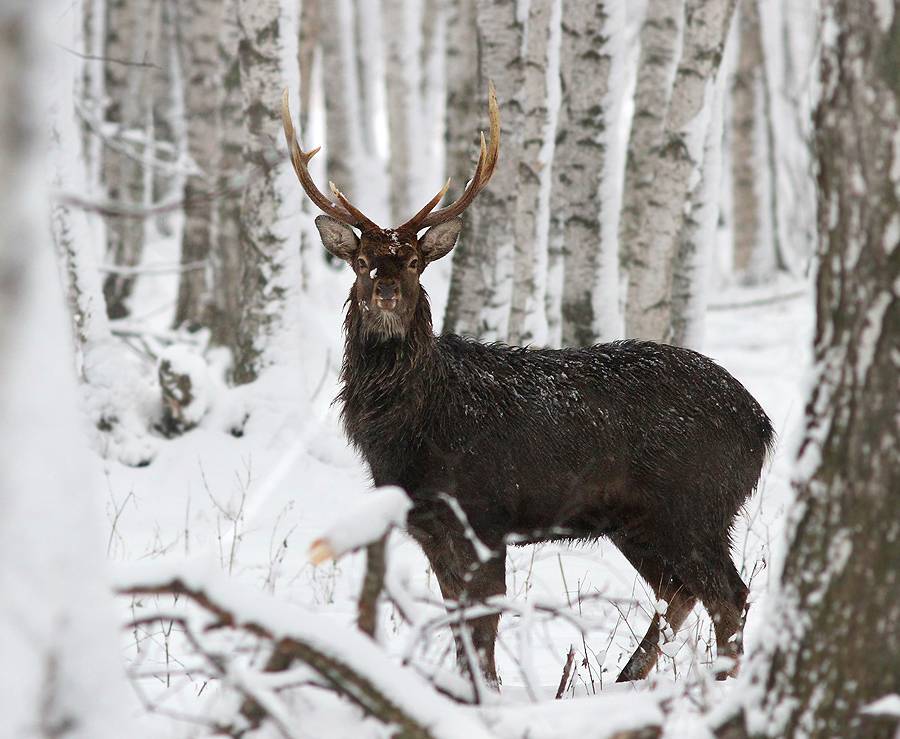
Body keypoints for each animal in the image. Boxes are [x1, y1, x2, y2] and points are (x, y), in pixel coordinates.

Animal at [282, 84, 772, 692]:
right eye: (363, 261)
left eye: (415, 261)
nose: (388, 292)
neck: (415, 426)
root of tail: (762, 425)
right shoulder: (430, 527)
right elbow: (458, 623)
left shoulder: (485, 515)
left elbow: (484, 627)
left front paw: (484, 695)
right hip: (638, 519)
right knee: (678, 592)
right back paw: (626, 678)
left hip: (695, 503)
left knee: (729, 595)